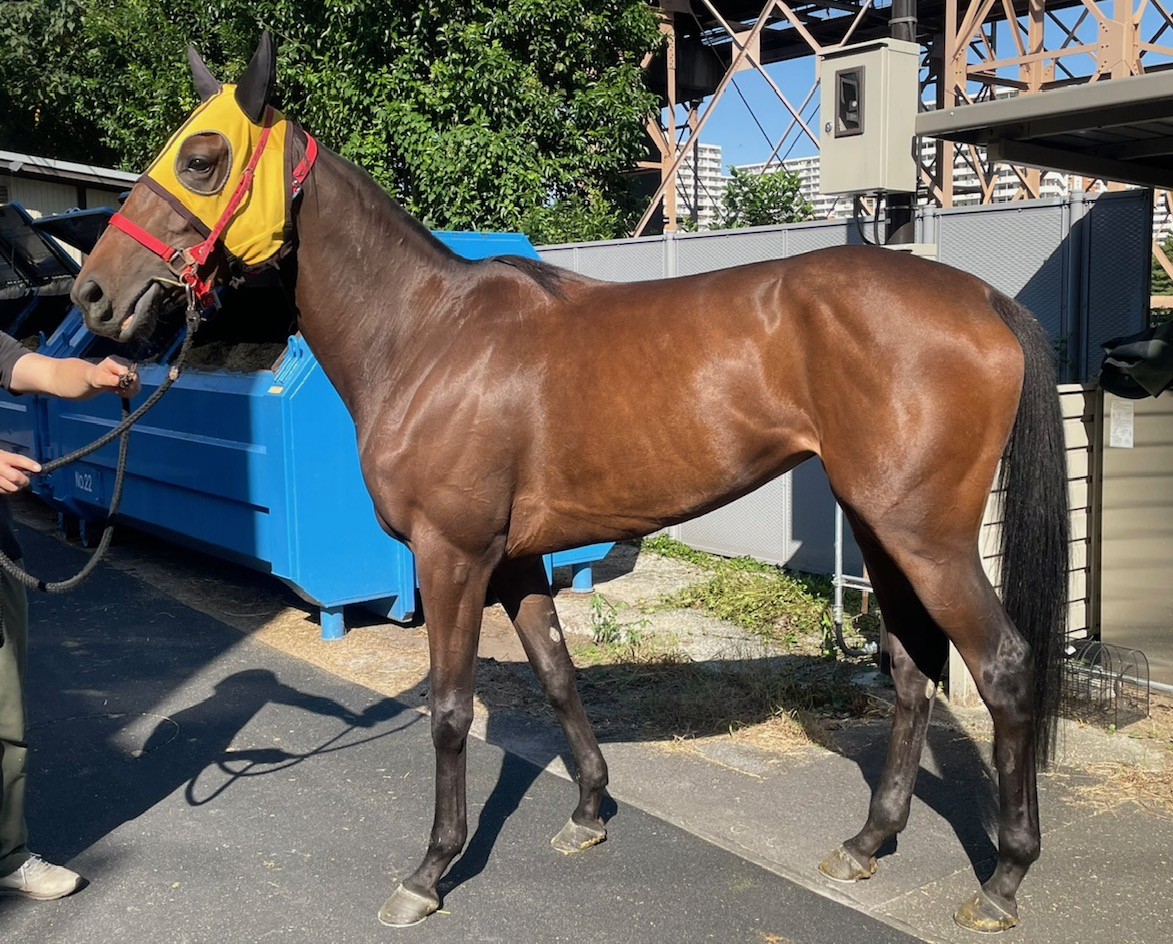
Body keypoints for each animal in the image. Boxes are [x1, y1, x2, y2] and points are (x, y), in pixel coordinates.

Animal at [71, 33, 1069, 933]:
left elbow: (448, 710)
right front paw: (588, 810)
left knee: (1002, 667)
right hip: (879, 527)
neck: (425, 335)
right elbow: (555, 676)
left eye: (202, 159)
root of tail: (978, 298)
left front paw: (430, 871)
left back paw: (1004, 879)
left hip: (925, 537)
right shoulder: (515, 562)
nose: (92, 295)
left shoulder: (451, 557)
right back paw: (867, 843)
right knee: (910, 670)